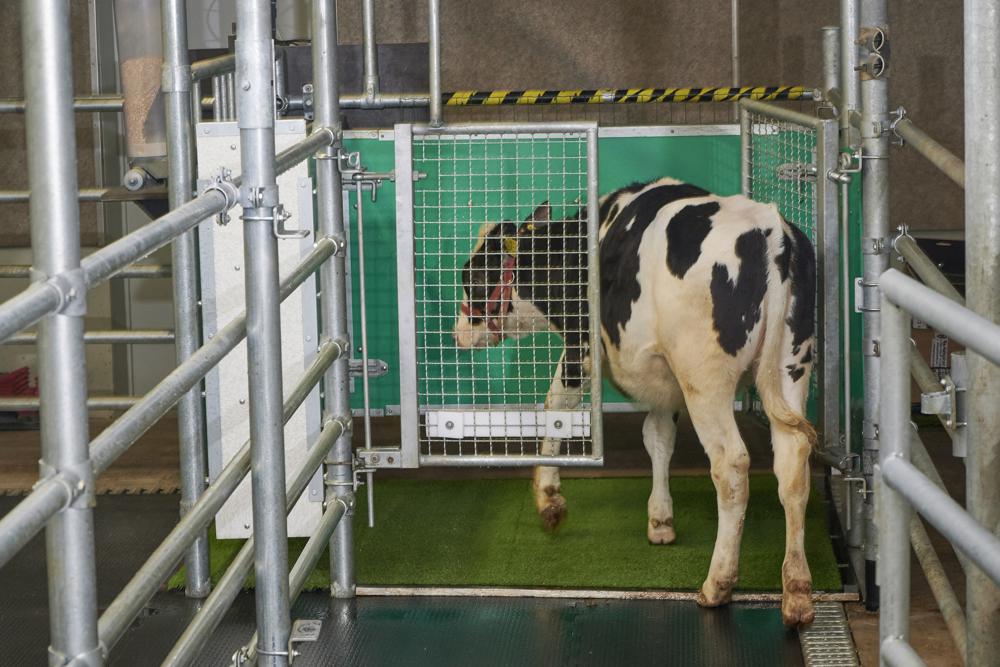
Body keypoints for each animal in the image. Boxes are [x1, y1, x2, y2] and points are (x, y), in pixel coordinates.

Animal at [454, 176, 820, 628]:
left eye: (472, 274)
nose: (457, 332)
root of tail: (771, 232)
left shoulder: (581, 347)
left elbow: (557, 405)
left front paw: (548, 498)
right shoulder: (663, 380)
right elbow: (658, 437)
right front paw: (661, 520)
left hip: (705, 377)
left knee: (731, 467)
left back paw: (717, 583)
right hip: (792, 365)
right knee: (793, 464)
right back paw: (797, 590)